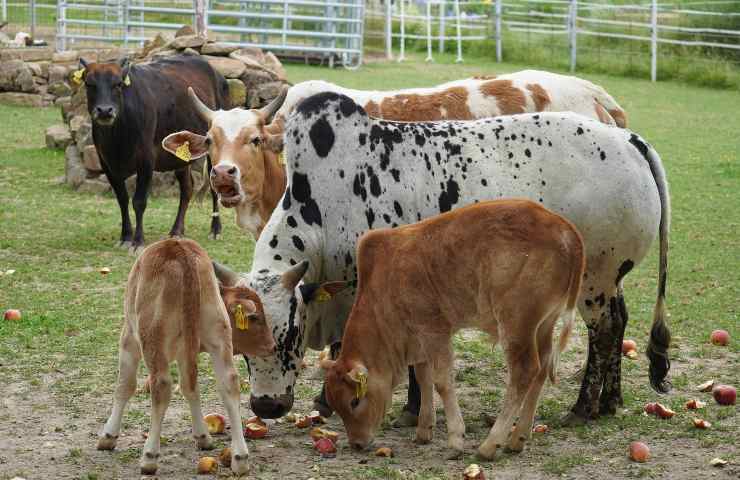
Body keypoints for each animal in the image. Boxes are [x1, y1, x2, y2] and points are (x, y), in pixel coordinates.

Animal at [77, 54, 230, 253]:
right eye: (89, 84)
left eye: (118, 84)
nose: (104, 110)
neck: (118, 139)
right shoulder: (107, 164)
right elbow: (122, 199)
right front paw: (125, 237)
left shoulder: (146, 160)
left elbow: (139, 201)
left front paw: (138, 241)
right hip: (180, 157)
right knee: (187, 188)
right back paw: (176, 230)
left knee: (213, 188)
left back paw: (215, 230)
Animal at [95, 238, 274, 474]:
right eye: (256, 318)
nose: (272, 345)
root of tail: (181, 249)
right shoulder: (185, 353)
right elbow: (191, 388)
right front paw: (202, 435)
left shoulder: (129, 338)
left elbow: (124, 386)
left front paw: (109, 435)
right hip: (218, 335)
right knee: (229, 383)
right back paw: (240, 457)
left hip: (152, 338)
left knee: (161, 386)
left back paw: (150, 456)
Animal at [210, 92, 672, 426]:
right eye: (241, 344)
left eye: (288, 334)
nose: (267, 406)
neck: (321, 208)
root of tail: (630, 141)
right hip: (610, 279)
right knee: (620, 320)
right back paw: (611, 400)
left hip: (595, 277)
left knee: (606, 330)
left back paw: (583, 408)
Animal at [320, 199, 588, 458]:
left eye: (354, 401)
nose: (357, 443)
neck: (384, 284)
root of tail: (564, 228)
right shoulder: (418, 340)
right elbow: (423, 377)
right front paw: (424, 430)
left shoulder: (434, 330)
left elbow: (441, 382)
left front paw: (455, 441)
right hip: (543, 324)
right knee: (542, 368)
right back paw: (517, 439)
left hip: (516, 324)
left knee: (525, 371)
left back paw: (490, 445)